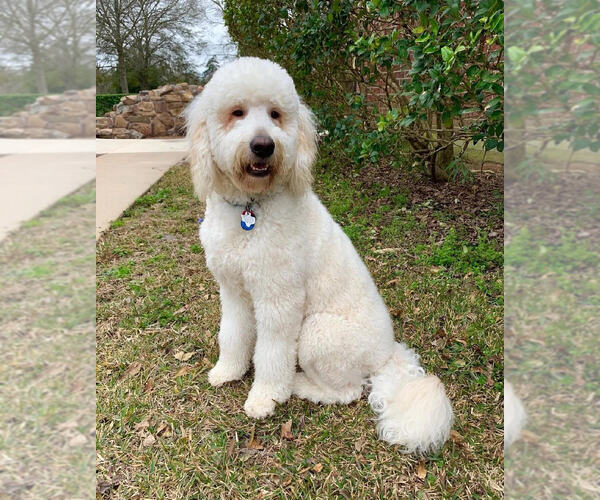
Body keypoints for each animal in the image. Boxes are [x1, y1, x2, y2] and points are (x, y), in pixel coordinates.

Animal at [185, 57, 452, 454]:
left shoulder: (279, 299)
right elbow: (232, 333)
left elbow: (272, 353)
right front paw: (228, 371)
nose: (263, 146)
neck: (252, 208)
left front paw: (265, 397)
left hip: (318, 332)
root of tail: (387, 355)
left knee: (348, 391)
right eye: (237, 112)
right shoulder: (233, 290)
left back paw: (300, 385)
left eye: (276, 114)